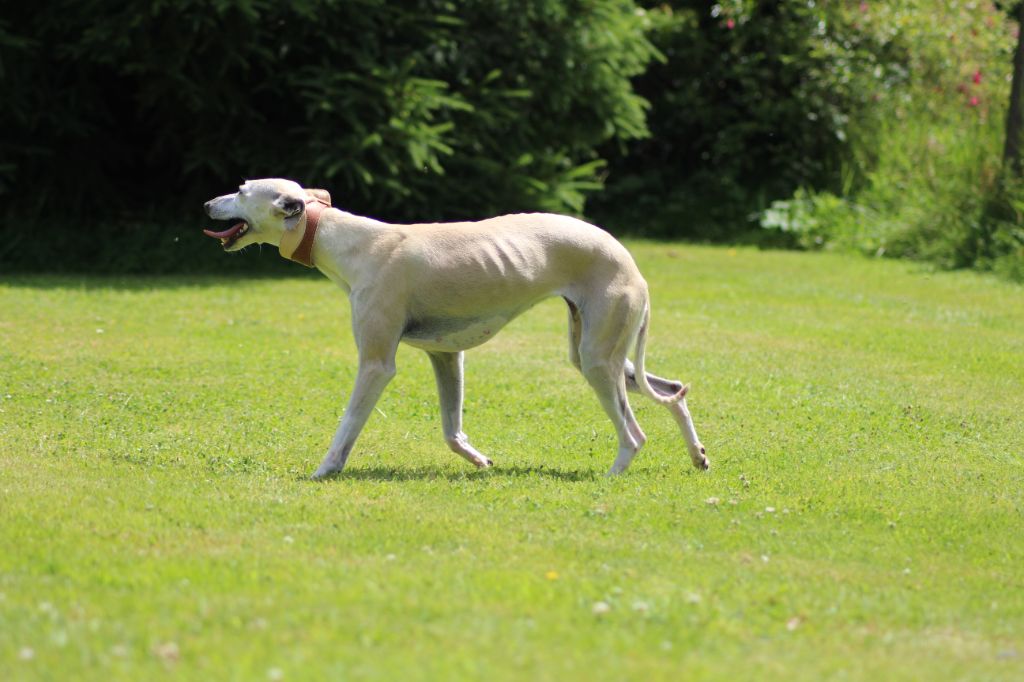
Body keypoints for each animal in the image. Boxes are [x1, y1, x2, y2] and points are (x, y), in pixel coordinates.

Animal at [203, 179, 708, 477]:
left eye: (243, 190)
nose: (207, 202)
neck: (349, 241)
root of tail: (630, 262)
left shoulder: (377, 363)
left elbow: (348, 423)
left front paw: (325, 469)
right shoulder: (445, 354)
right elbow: (451, 430)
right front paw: (480, 459)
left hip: (599, 359)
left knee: (634, 434)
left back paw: (612, 477)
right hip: (598, 351)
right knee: (674, 390)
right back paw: (698, 456)